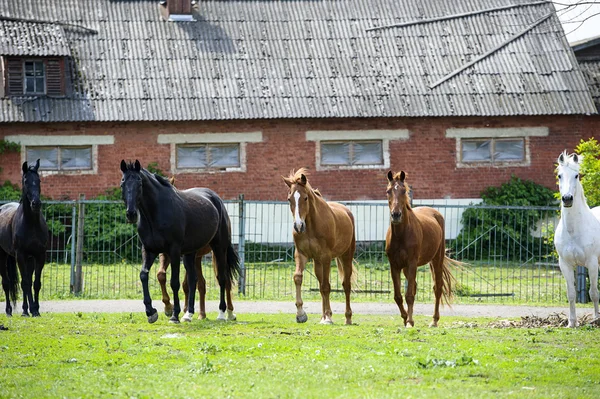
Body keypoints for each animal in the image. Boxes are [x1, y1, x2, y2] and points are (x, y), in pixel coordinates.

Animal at [0, 161, 48, 318]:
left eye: (39, 181)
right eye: (26, 181)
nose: (36, 204)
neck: (31, 224)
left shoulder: (39, 255)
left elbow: (36, 283)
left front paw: (36, 310)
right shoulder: (20, 255)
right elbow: (25, 283)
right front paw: (31, 309)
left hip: (29, 259)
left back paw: (26, 309)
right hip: (3, 256)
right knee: (7, 283)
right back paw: (10, 310)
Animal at [118, 160, 240, 324]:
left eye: (139, 182)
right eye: (122, 183)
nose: (131, 214)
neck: (155, 214)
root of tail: (216, 199)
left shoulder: (174, 251)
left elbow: (174, 282)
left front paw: (174, 314)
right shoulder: (150, 250)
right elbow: (145, 275)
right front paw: (151, 312)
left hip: (219, 248)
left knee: (222, 278)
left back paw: (224, 313)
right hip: (191, 254)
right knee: (195, 281)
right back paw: (190, 314)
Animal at [282, 169, 356, 324]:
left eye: (305, 198)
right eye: (289, 199)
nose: (298, 226)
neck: (311, 226)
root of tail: (347, 211)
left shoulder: (326, 257)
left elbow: (326, 286)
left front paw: (328, 317)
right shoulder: (301, 255)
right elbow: (298, 278)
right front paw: (300, 314)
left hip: (346, 256)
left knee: (346, 285)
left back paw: (347, 318)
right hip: (317, 262)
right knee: (321, 285)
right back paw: (323, 316)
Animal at [384, 171, 454, 328]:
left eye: (404, 191)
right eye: (388, 191)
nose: (396, 215)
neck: (401, 234)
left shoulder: (412, 263)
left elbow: (409, 295)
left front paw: (409, 321)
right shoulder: (394, 265)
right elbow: (398, 296)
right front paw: (406, 318)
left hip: (437, 260)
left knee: (437, 288)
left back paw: (434, 320)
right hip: (406, 268)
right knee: (415, 287)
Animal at [552, 151, 600, 328]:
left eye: (576, 175)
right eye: (559, 175)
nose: (567, 198)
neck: (574, 231)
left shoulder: (592, 263)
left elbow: (594, 293)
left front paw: (596, 319)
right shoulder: (565, 265)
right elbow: (571, 293)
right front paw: (572, 322)